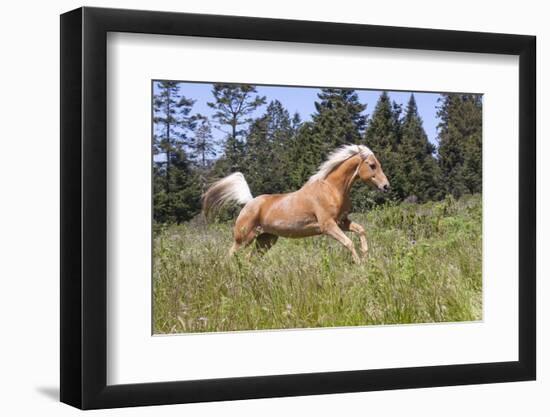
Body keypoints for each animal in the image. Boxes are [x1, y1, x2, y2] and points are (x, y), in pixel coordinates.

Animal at [204, 145, 392, 262]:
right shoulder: (328, 225)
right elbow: (349, 243)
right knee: (230, 256)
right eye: (372, 165)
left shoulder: (342, 222)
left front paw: (366, 258)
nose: (386, 186)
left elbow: (361, 231)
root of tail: (249, 203)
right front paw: (359, 264)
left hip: (266, 240)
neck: (331, 189)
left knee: (250, 259)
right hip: (243, 239)